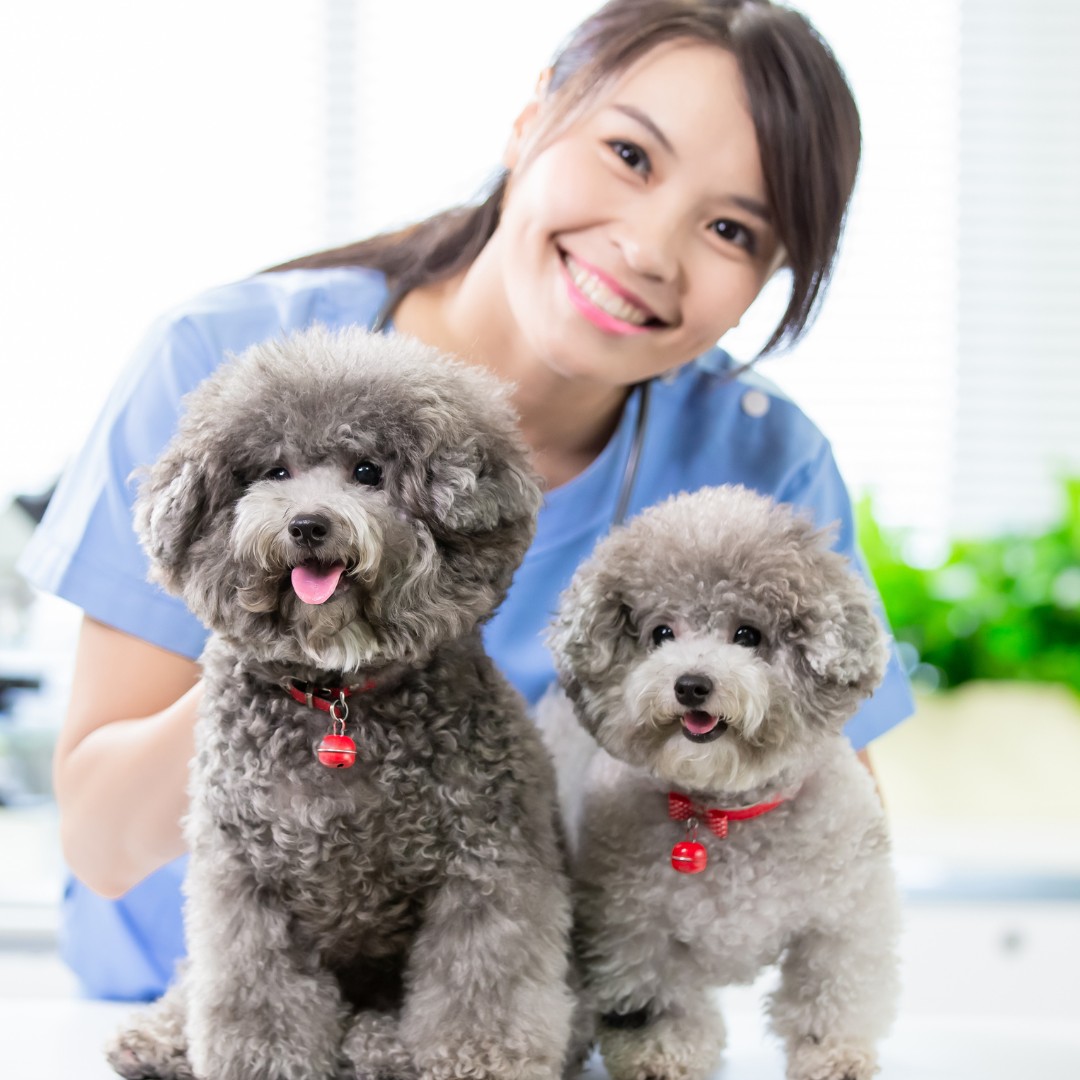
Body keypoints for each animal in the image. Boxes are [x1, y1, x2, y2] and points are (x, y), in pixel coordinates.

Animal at [106, 326, 574, 1080]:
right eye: (273, 472)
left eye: (367, 471)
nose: (307, 524)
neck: (336, 697)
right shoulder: (245, 881)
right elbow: (251, 993)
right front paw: (262, 1061)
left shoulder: (488, 868)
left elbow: (482, 990)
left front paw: (477, 1059)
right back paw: (157, 1038)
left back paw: (377, 1045)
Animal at [548, 486, 902, 1080]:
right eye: (661, 633)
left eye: (747, 635)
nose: (691, 684)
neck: (724, 815)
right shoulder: (633, 927)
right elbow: (659, 1000)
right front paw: (662, 1055)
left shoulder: (842, 915)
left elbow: (831, 987)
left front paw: (832, 1054)